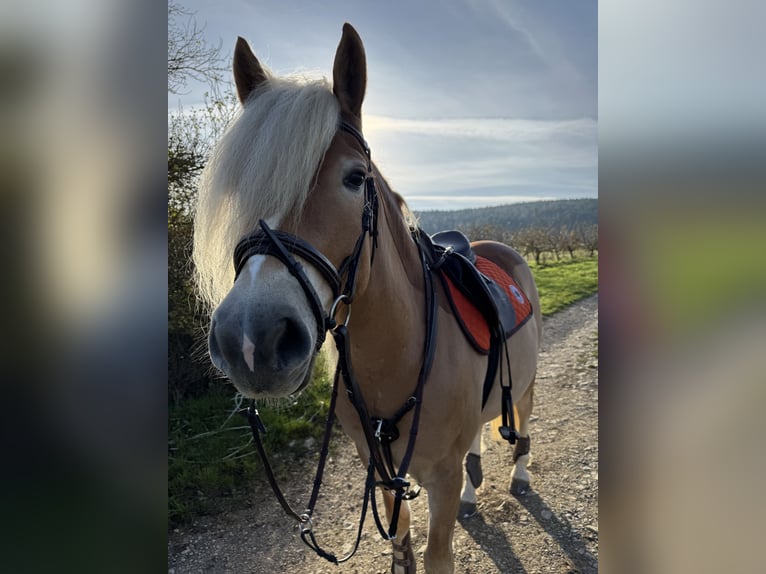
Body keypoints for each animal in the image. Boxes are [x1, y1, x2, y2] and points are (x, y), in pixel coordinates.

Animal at [195, 22, 544, 574]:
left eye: (355, 178)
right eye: (239, 194)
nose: (251, 341)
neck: (399, 355)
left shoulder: (439, 481)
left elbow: (436, 554)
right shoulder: (380, 475)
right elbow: (401, 546)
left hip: (525, 385)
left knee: (524, 423)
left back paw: (522, 476)